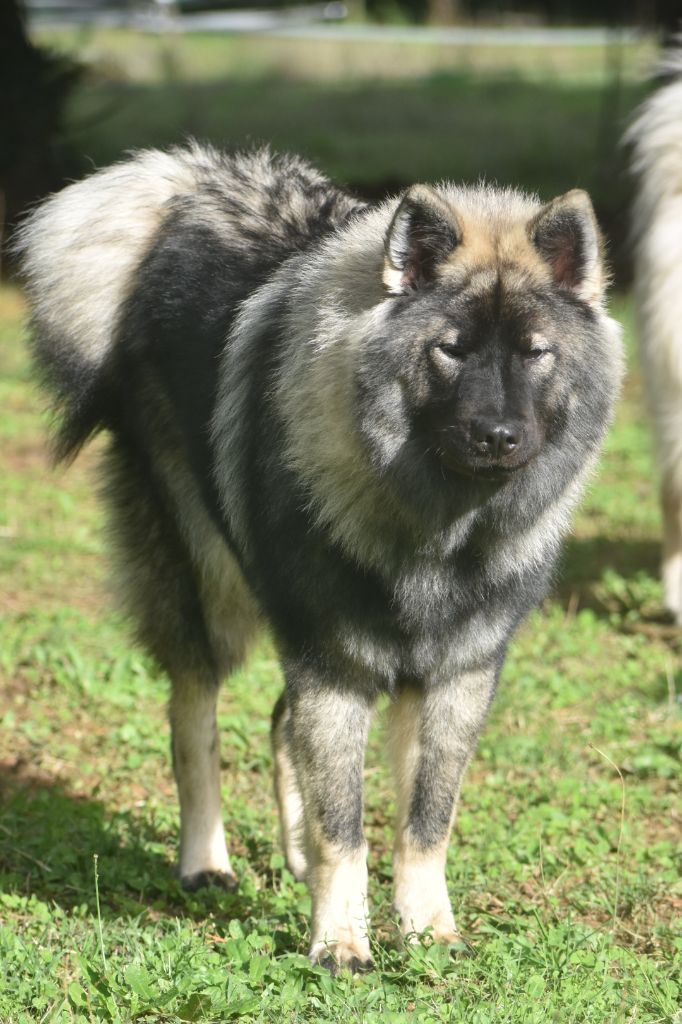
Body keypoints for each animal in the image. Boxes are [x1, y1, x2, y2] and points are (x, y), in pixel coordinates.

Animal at [14, 142, 622, 966]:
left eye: (536, 355)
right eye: (451, 351)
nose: (498, 436)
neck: (436, 530)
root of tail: (184, 193)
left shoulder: (453, 676)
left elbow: (424, 820)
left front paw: (426, 927)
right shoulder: (334, 667)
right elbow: (346, 827)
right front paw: (339, 939)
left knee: (277, 719)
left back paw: (292, 856)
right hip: (210, 587)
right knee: (193, 717)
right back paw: (205, 863)